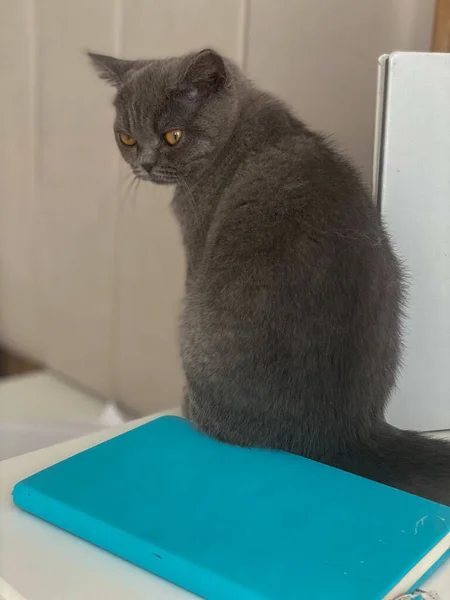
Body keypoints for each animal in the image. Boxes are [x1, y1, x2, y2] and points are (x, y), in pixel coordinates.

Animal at [90, 48, 450, 506]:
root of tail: (346, 433)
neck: (241, 128)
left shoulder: (195, 245)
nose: (145, 165)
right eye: (127, 139)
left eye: (172, 136)